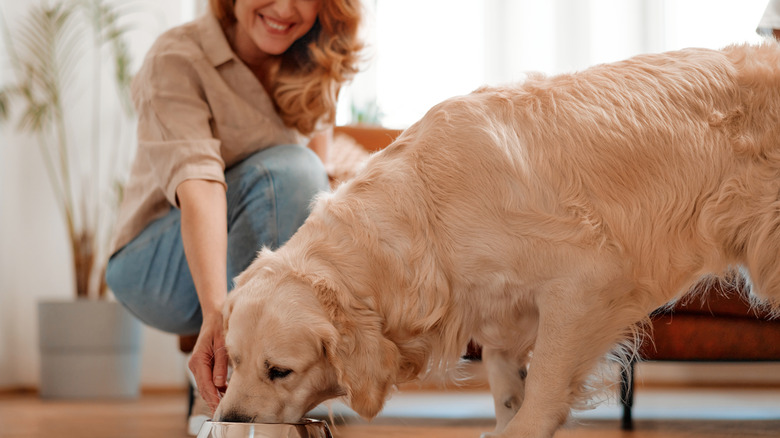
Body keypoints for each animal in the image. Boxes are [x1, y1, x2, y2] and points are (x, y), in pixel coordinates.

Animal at [212, 42, 780, 438]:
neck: (426, 216)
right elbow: (506, 379)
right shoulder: (498, 305)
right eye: (232, 361)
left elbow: (545, 381)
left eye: (280, 371)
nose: (230, 416)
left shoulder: (586, 283)